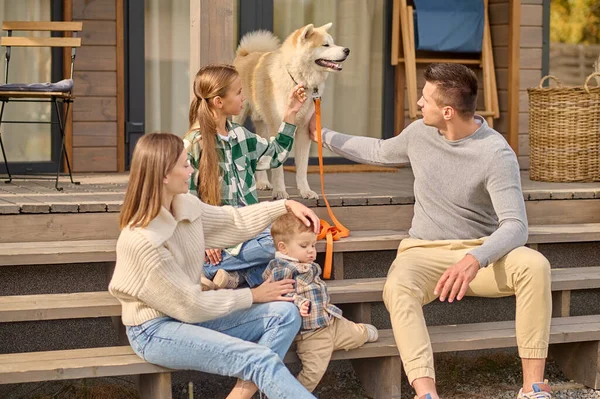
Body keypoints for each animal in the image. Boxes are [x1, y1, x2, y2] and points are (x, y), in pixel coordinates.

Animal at [232, 23, 350, 200]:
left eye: (333, 43)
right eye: (325, 45)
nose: (347, 50)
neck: (298, 80)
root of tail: (244, 55)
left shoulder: (303, 130)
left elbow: (302, 167)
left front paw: (305, 191)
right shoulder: (277, 128)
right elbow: (278, 168)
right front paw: (280, 192)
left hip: (263, 125)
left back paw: (262, 182)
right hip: (239, 118)